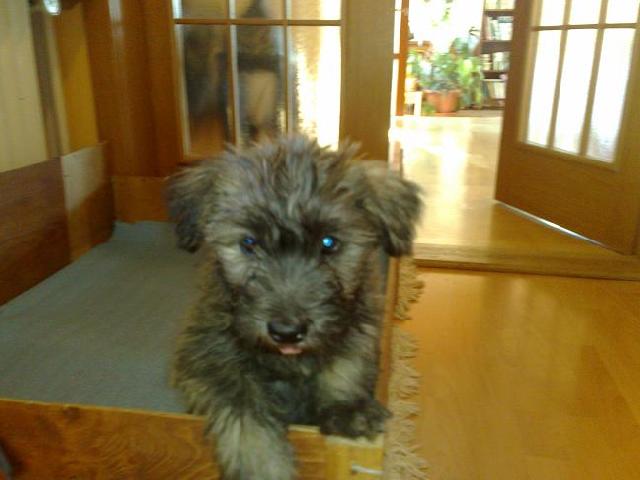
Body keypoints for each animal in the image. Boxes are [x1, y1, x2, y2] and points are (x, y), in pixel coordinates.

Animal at [168, 136, 422, 480]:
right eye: (249, 243)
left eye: (329, 243)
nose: (287, 332)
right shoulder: (206, 358)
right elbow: (245, 413)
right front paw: (264, 467)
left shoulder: (357, 325)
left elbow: (345, 364)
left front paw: (347, 409)